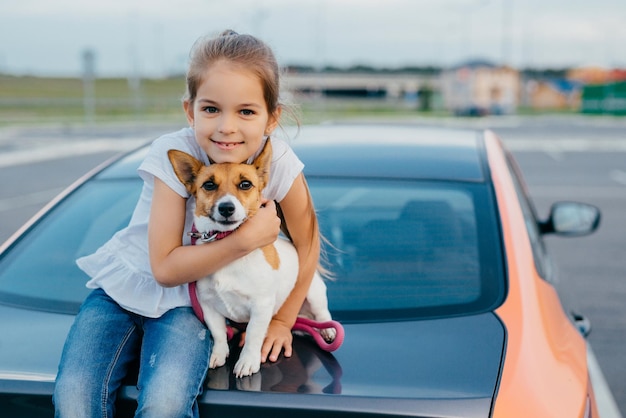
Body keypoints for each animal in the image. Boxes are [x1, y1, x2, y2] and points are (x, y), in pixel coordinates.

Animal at [165, 140, 332, 378]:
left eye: (245, 184)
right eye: (209, 185)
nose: (226, 207)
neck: (228, 247)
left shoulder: (261, 306)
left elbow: (254, 335)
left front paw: (247, 361)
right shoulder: (208, 305)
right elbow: (218, 333)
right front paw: (219, 353)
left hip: (313, 293)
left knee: (322, 313)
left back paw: (327, 330)